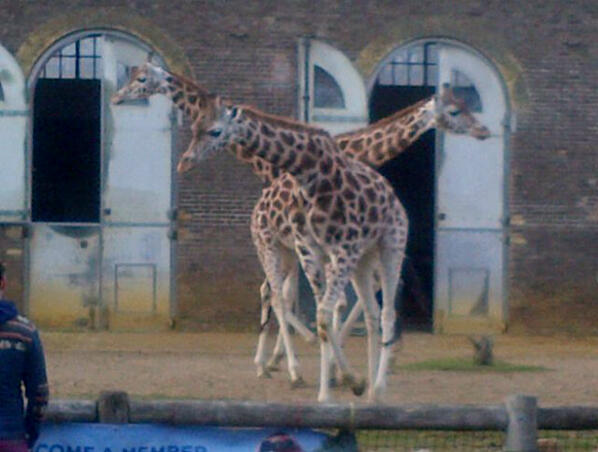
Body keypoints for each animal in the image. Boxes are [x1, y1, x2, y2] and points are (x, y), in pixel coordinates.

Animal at [178, 103, 409, 403]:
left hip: (391, 245)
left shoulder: (342, 250)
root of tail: (393, 198)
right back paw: (367, 389)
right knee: (369, 313)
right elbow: (323, 316)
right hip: (354, 258)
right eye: (195, 126)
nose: (185, 161)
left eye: (215, 131)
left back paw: (378, 388)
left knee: (387, 311)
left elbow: (327, 312)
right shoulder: (314, 250)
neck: (311, 170)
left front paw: (335, 382)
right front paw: (336, 388)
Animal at [256, 85, 491, 376]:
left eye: (468, 104)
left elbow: (352, 299)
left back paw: (270, 361)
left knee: (274, 291)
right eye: (455, 110)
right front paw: (339, 362)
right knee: (275, 293)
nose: (484, 130)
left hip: (288, 250)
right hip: (279, 245)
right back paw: (285, 360)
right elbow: (342, 300)